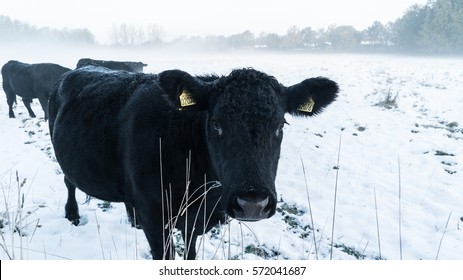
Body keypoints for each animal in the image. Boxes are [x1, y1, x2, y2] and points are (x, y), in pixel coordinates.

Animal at [48, 66, 338, 260]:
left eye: (280, 125)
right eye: (216, 123)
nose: (253, 203)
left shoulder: (196, 219)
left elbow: (190, 252)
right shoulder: (156, 219)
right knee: (68, 181)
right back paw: (72, 214)